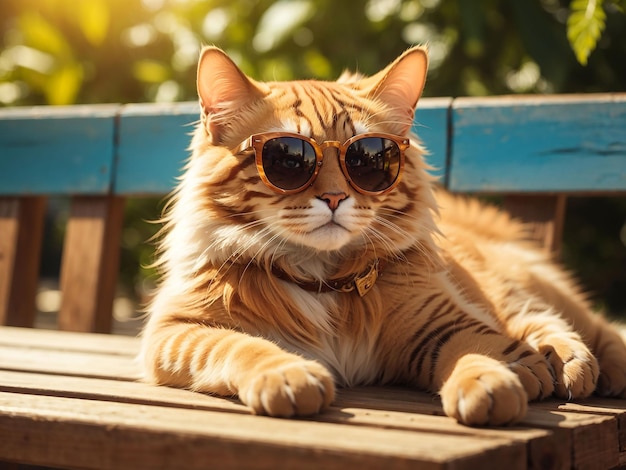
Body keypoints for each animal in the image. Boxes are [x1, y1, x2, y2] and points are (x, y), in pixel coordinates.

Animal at [140, 45, 624, 426]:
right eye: (289, 159)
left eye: (368, 159)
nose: (334, 197)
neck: (322, 280)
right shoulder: (177, 331)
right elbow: (241, 346)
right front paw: (288, 375)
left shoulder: (441, 323)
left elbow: (477, 348)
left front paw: (492, 380)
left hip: (517, 288)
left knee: (584, 324)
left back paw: (578, 362)